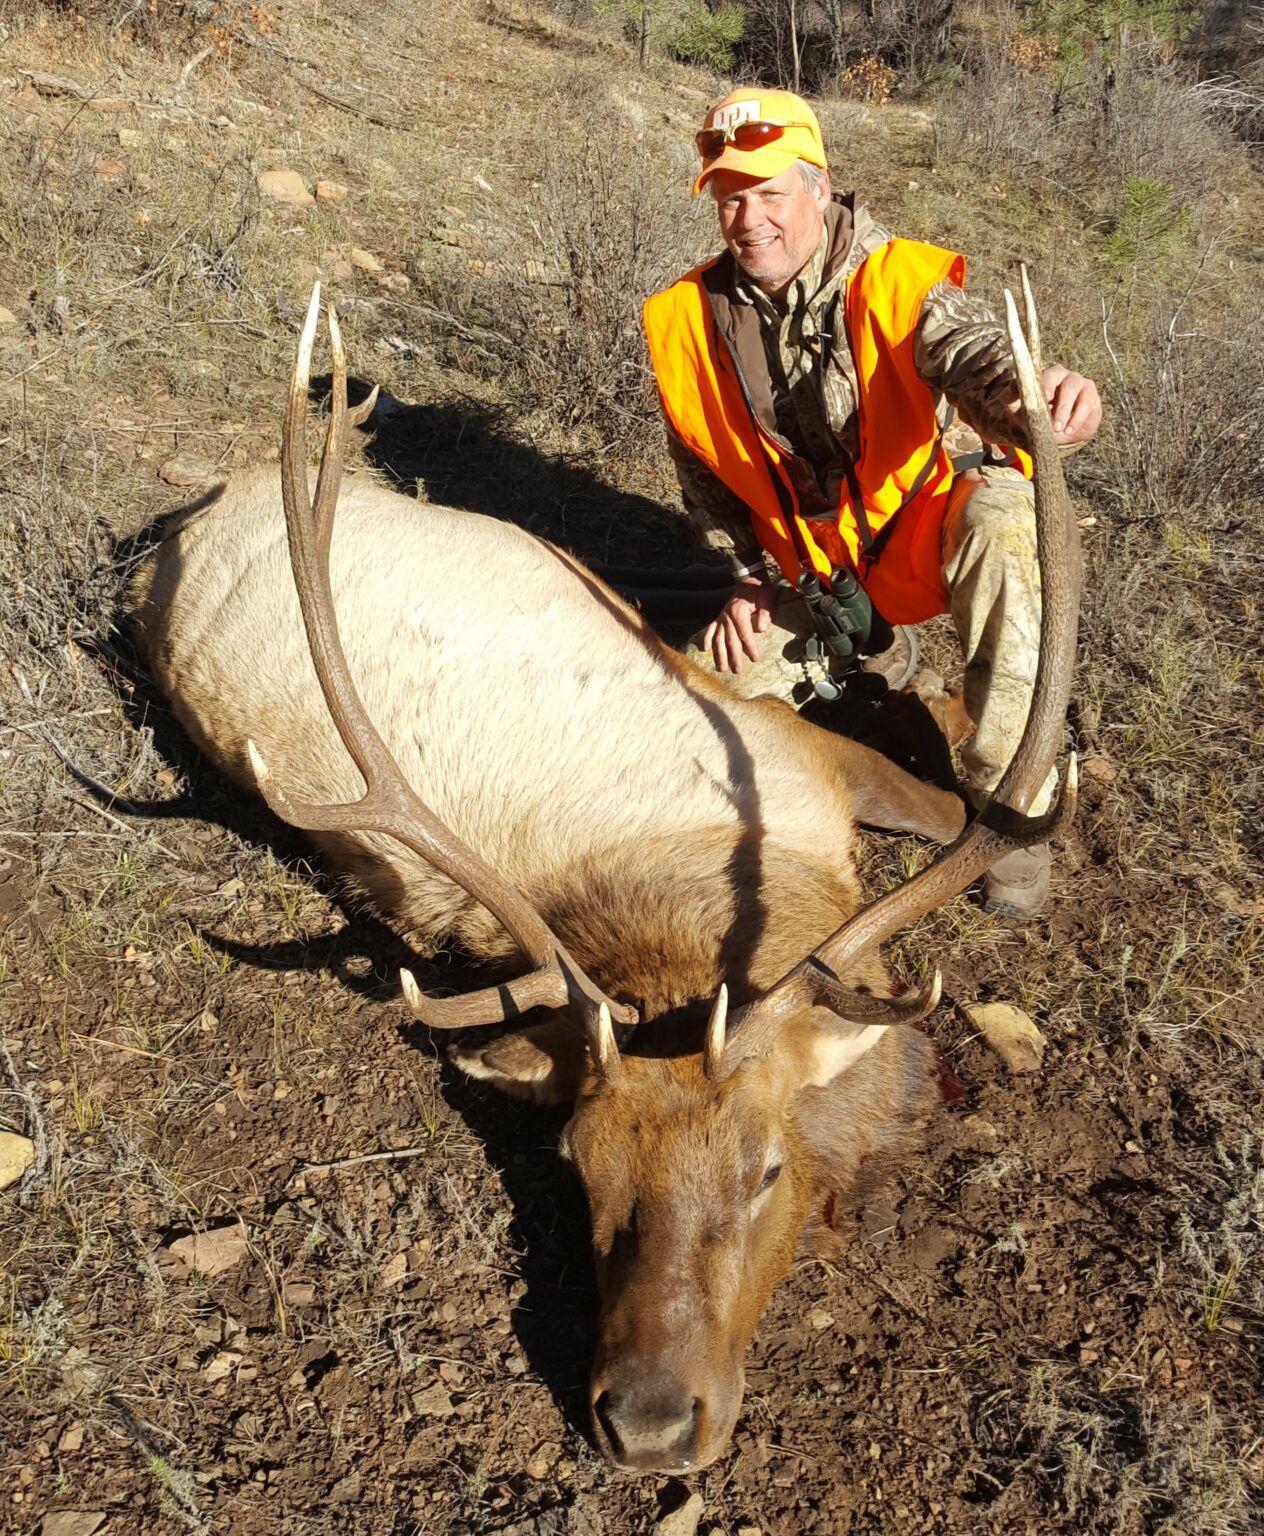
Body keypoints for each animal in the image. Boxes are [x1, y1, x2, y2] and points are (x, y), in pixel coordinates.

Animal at [127, 277, 1079, 1476]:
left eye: (765, 1169)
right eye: (579, 1166)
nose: (651, 1422)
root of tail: (199, 512)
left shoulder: (790, 748)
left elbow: (955, 806)